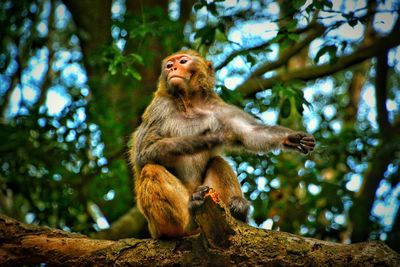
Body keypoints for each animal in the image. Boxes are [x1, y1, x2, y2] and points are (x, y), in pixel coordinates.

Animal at [131, 49, 316, 240]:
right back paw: (186, 225)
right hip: (160, 225)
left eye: (182, 61)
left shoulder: (220, 109)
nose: (172, 68)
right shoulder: (159, 108)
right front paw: (205, 139)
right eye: (169, 65)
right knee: (151, 169)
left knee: (218, 161)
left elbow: (250, 133)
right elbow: (145, 152)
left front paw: (292, 138)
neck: (189, 103)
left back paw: (238, 212)